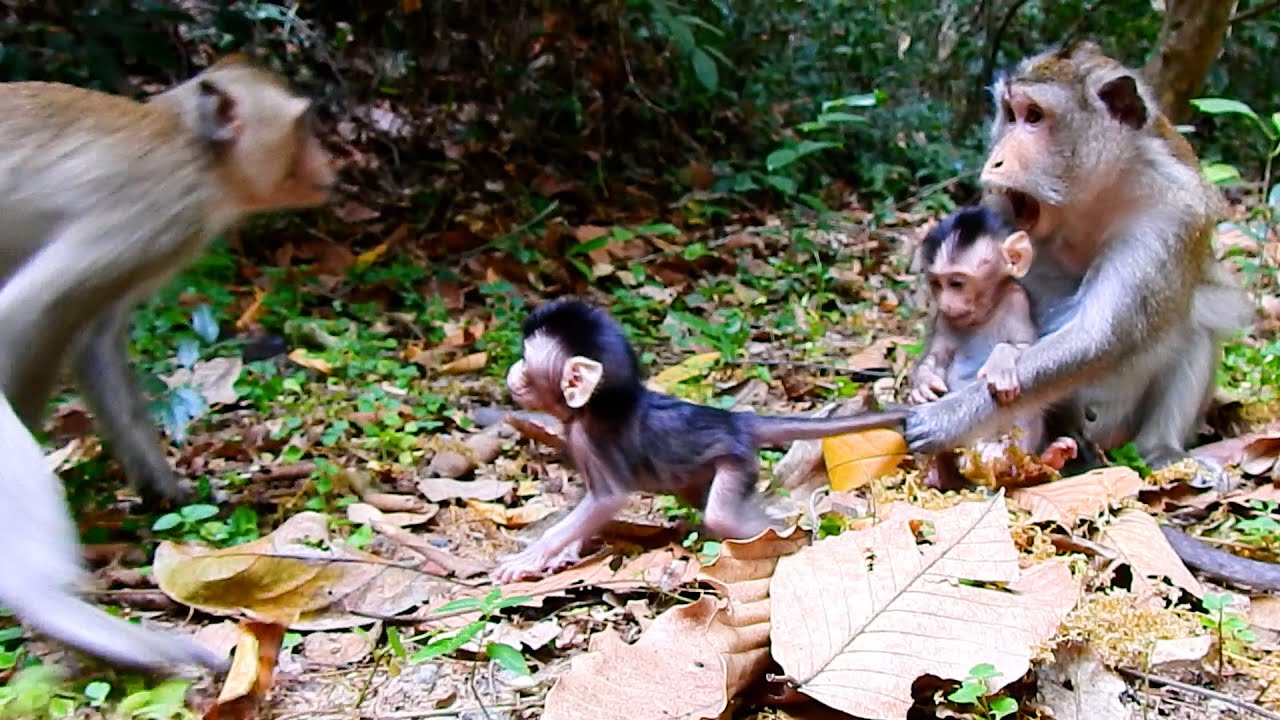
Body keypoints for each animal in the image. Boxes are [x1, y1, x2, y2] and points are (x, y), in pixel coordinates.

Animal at [0, 56, 334, 671]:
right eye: (303, 126)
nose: (329, 158)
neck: (193, 149)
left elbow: (95, 340)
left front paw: (166, 489)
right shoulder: (161, 212)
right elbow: (23, 315)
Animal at [493, 298, 907, 582]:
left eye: (526, 365)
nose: (512, 372)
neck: (601, 404)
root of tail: (738, 420)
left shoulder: (590, 439)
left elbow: (604, 501)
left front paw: (536, 554)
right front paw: (564, 553)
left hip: (736, 463)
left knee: (721, 516)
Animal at [908, 206, 1077, 484]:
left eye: (956, 283)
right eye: (936, 284)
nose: (946, 303)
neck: (984, 314)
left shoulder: (1017, 301)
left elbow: (1025, 345)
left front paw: (1001, 362)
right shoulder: (944, 319)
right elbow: (937, 357)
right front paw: (922, 383)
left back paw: (1034, 460)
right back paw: (936, 475)